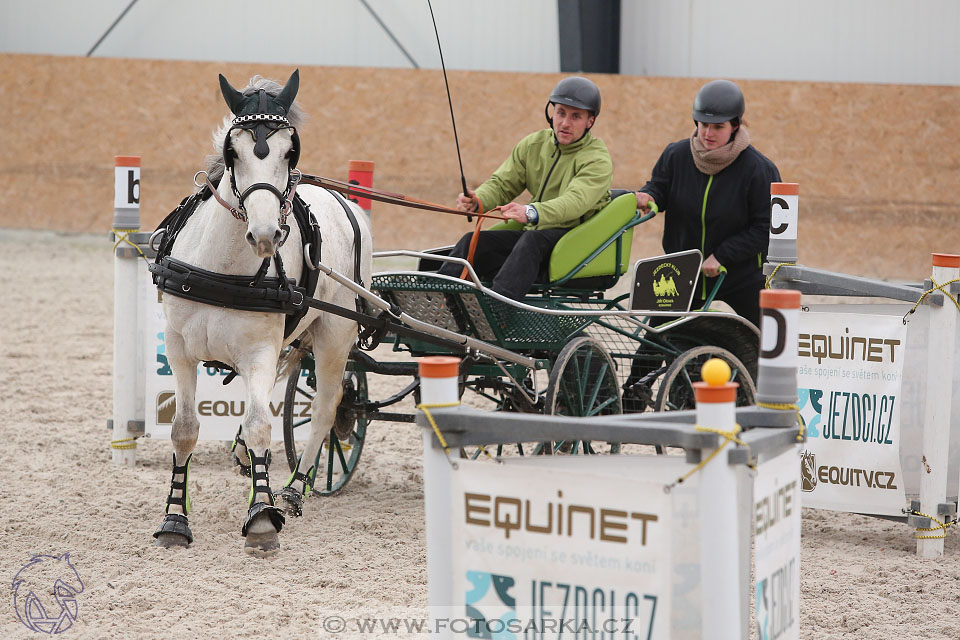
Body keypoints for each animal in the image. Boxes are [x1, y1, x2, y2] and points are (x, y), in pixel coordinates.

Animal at [152, 69, 374, 552]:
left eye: (291, 151)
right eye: (231, 152)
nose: (266, 234)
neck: (222, 269)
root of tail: (347, 204)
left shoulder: (258, 351)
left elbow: (259, 423)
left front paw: (262, 516)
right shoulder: (179, 350)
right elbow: (184, 428)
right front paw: (175, 517)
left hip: (334, 334)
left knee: (327, 407)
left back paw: (293, 489)